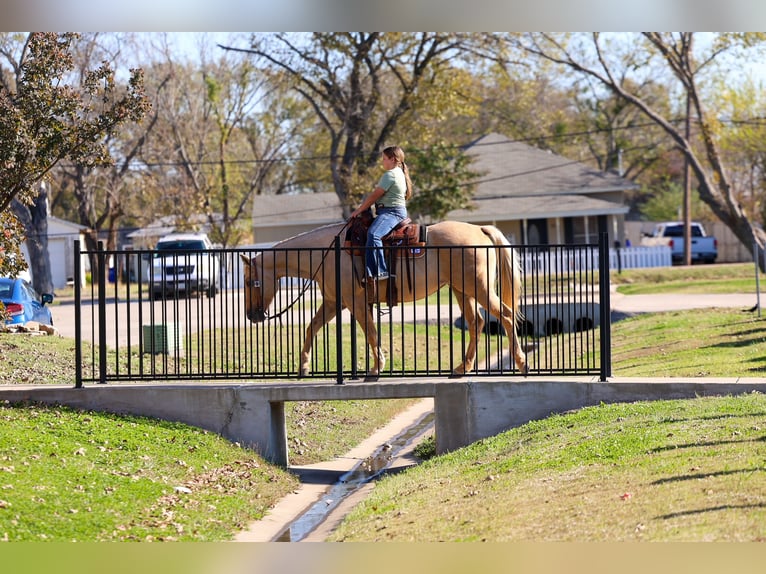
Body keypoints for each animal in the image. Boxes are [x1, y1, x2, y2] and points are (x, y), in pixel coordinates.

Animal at [240, 220, 528, 379]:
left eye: (249, 282)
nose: (251, 316)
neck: (328, 252)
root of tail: (480, 230)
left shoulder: (354, 302)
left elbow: (370, 332)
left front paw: (376, 368)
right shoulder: (334, 302)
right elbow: (312, 327)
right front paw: (304, 366)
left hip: (479, 288)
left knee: (505, 314)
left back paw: (521, 362)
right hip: (462, 290)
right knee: (476, 321)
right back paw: (462, 368)